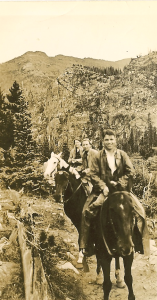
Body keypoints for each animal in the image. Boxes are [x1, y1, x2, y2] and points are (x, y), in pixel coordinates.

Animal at [53, 168, 135, 298]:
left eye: (65, 179)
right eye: (55, 178)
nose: (56, 196)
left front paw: (97, 273)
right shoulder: (79, 223)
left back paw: (118, 277)